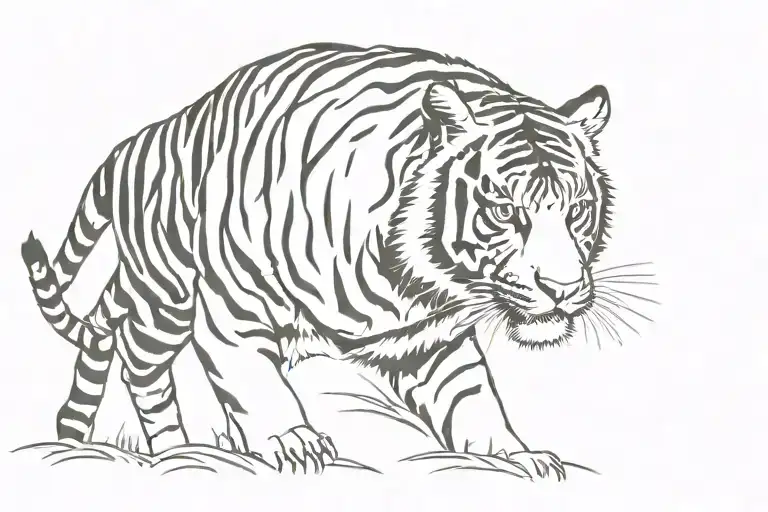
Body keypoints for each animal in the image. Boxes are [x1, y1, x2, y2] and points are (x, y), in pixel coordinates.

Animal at [21, 42, 613, 478]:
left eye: (577, 210)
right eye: (506, 211)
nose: (562, 287)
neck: (410, 277)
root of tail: (132, 145)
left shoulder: (427, 339)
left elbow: (472, 395)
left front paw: (514, 455)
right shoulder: (233, 305)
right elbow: (252, 380)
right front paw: (291, 440)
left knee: (100, 327)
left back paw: (72, 433)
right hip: (164, 298)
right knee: (138, 361)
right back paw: (172, 449)